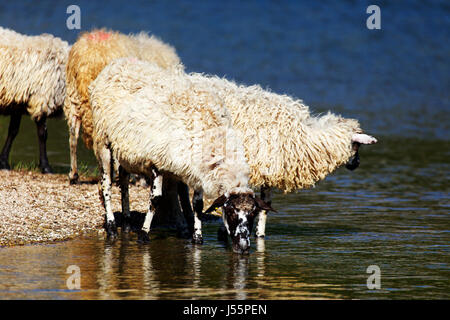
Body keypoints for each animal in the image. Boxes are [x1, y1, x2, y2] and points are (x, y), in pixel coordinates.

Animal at [0, 26, 69, 172]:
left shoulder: (18, 102)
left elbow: (13, 131)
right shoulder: (42, 99)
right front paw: (46, 166)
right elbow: (43, 135)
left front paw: (3, 162)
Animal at [89, 57, 274, 252]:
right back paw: (111, 227)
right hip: (103, 141)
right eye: (231, 211)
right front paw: (144, 234)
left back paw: (126, 222)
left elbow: (197, 205)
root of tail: (116, 63)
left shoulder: (196, 169)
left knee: (124, 181)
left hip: (125, 151)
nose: (244, 246)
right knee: (106, 185)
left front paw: (197, 237)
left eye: (253, 213)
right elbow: (156, 199)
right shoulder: (157, 162)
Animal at [183, 73, 376, 238]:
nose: (356, 164)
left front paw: (257, 233)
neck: (306, 138)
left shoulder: (266, 171)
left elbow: (265, 205)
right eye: (357, 144)